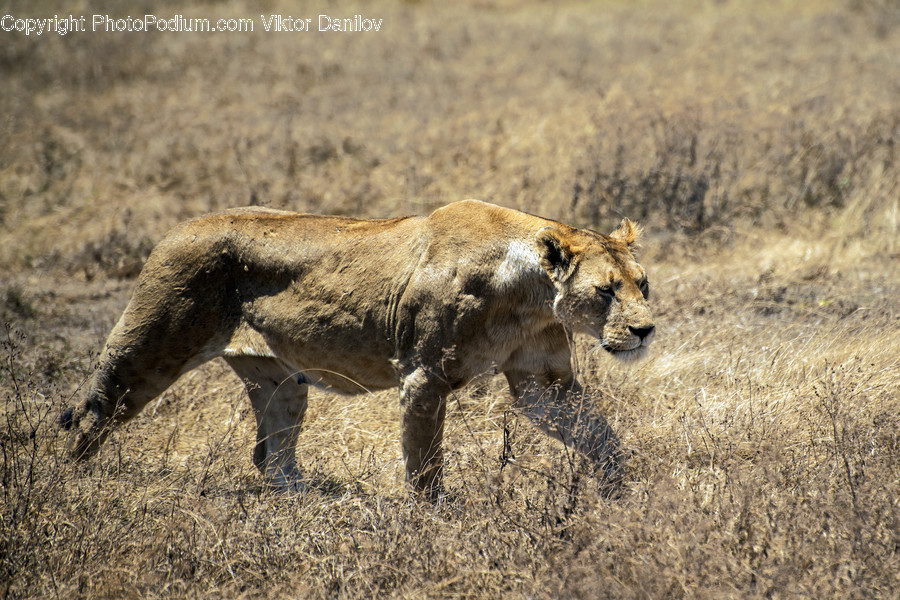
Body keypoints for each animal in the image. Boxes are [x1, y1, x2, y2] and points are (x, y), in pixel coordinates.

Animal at [60, 199, 654, 497]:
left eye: (642, 284)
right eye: (606, 291)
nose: (645, 330)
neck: (528, 294)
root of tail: (176, 227)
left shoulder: (542, 384)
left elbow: (599, 437)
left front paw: (624, 498)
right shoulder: (423, 375)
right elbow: (425, 464)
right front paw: (431, 522)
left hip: (278, 379)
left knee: (270, 453)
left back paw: (307, 499)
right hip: (150, 347)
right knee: (94, 411)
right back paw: (74, 482)